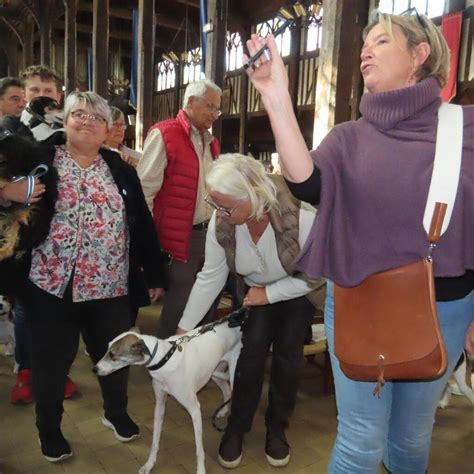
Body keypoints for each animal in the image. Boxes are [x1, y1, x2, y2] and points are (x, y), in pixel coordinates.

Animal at [94, 310, 246, 474]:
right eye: (107, 349)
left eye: (112, 355)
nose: (94, 369)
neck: (164, 359)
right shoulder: (160, 405)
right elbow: (155, 441)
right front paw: (149, 464)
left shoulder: (194, 409)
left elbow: (199, 449)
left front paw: (200, 470)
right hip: (214, 373)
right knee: (226, 390)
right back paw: (223, 410)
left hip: (234, 375)